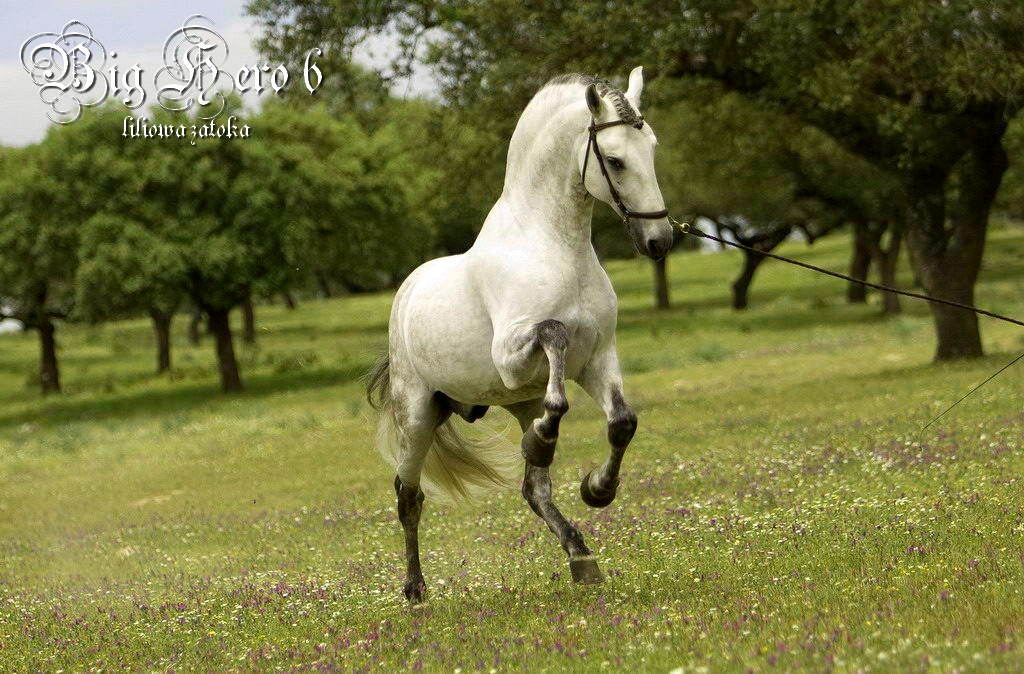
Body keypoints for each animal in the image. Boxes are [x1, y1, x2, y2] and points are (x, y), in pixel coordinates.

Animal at [366, 67, 674, 603]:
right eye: (615, 159)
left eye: (652, 149)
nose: (660, 241)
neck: (552, 246)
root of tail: (407, 291)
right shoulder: (511, 356)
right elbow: (553, 333)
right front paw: (553, 446)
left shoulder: (598, 359)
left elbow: (621, 423)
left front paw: (597, 489)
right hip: (418, 411)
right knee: (409, 495)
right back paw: (415, 589)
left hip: (517, 401)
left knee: (535, 487)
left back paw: (580, 555)